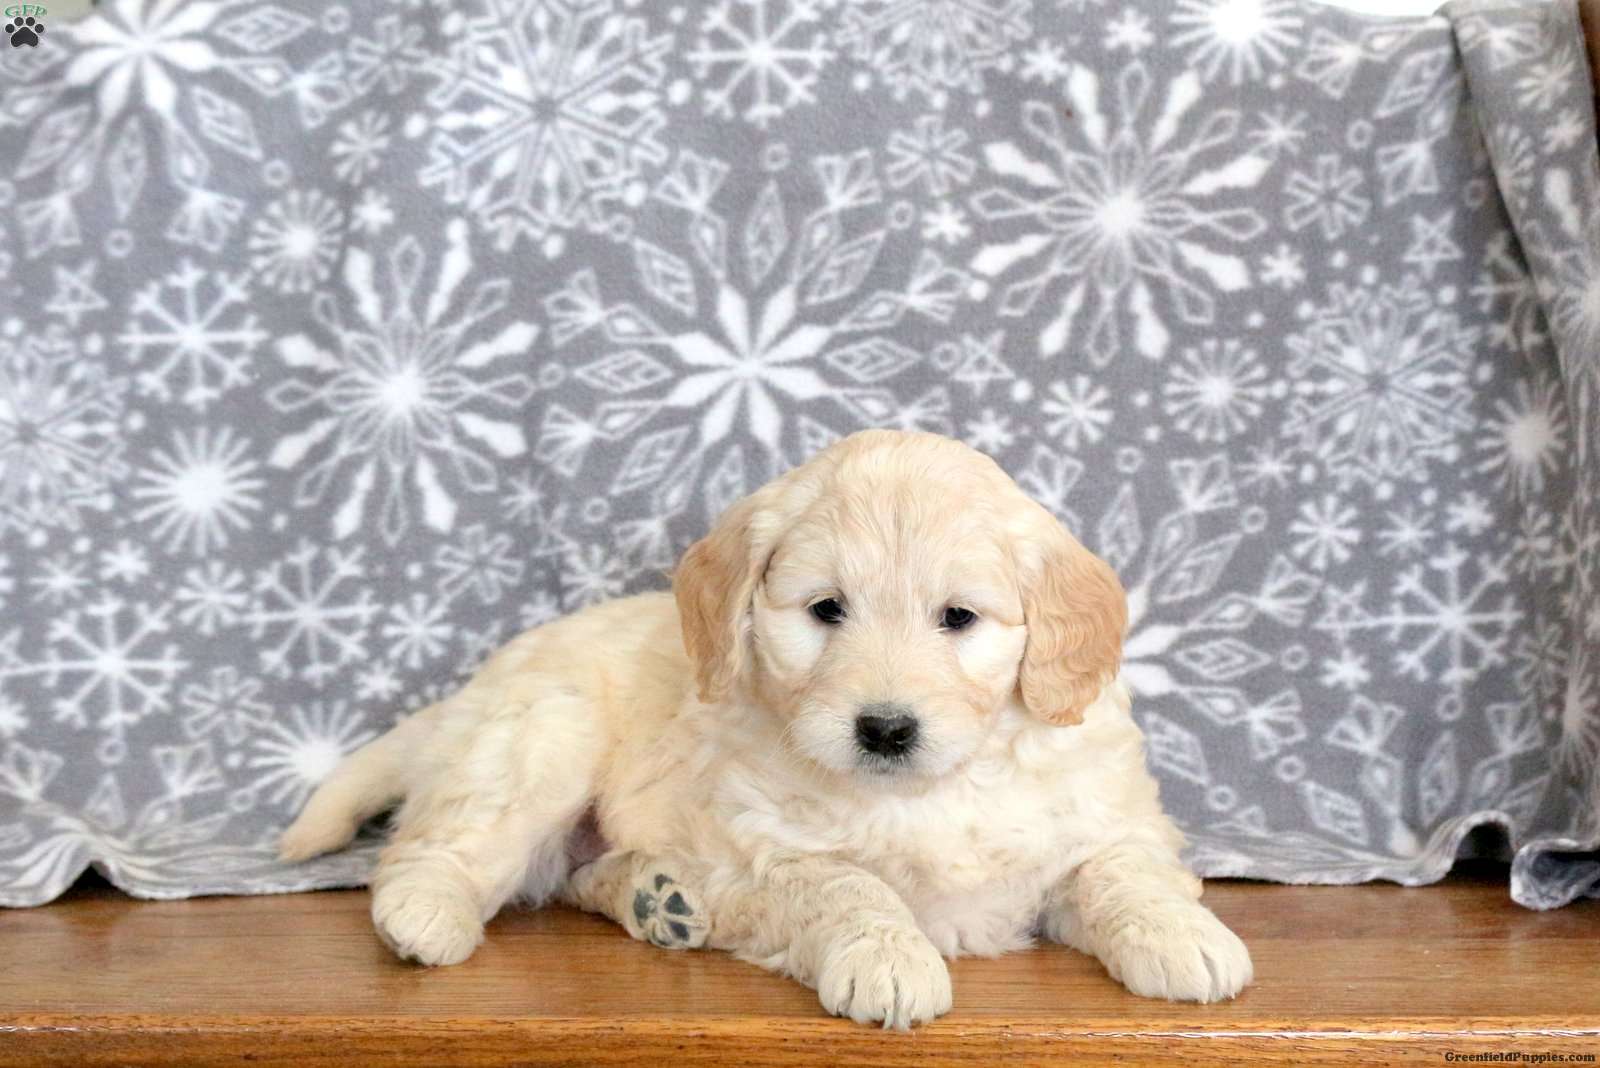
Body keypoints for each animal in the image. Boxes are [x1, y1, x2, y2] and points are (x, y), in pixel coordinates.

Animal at [281, 429, 1251, 1027]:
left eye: (958, 619)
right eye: (826, 611)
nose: (885, 730)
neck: (931, 788)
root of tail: (477, 687)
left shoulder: (1102, 817)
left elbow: (1126, 873)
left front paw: (1185, 937)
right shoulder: (770, 854)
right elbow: (852, 886)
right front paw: (892, 958)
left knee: (575, 875)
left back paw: (659, 898)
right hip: (539, 741)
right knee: (436, 846)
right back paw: (426, 914)